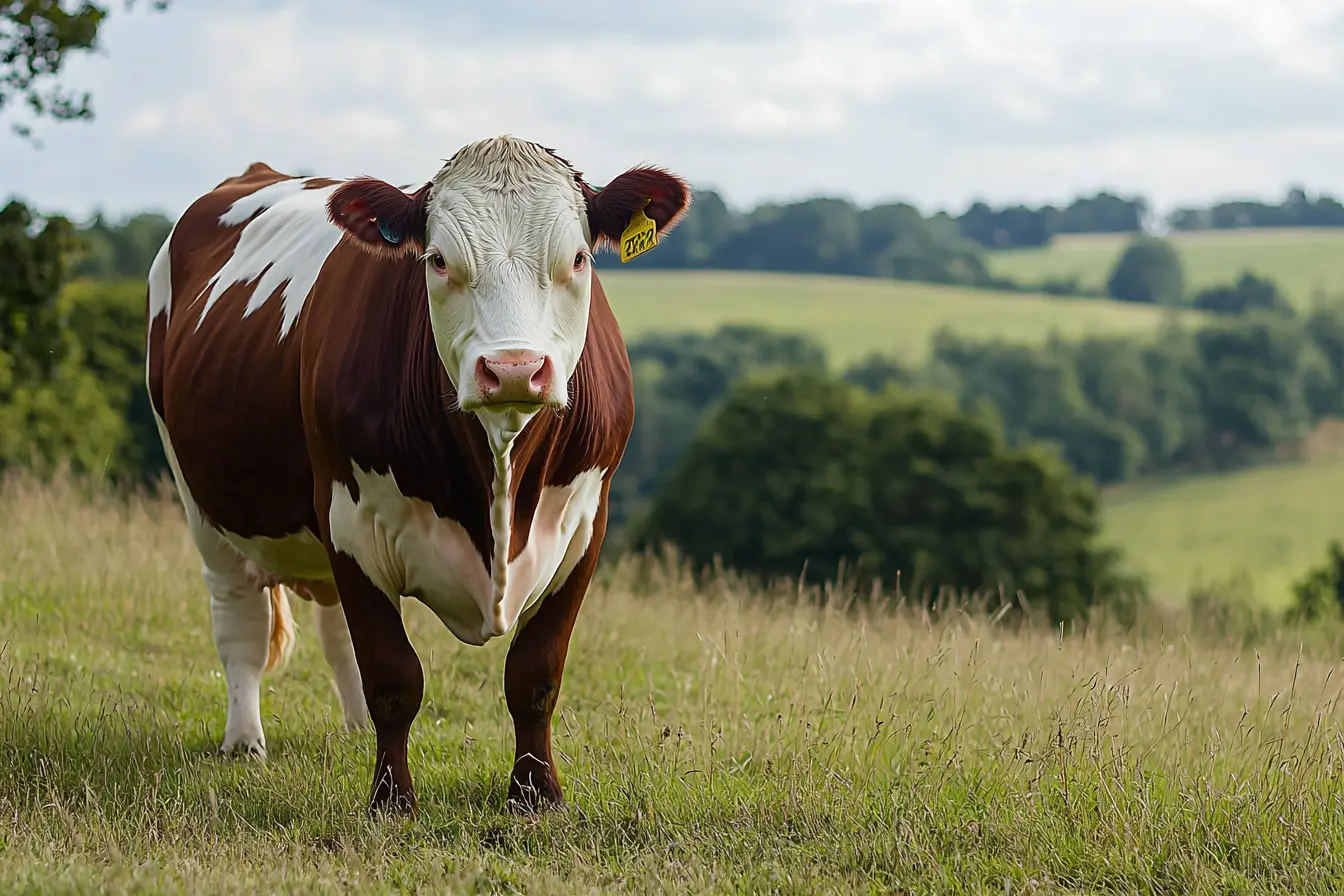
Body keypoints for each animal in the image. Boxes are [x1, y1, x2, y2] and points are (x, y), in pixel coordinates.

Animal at [147, 137, 693, 816]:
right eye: (437, 260)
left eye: (578, 257)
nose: (514, 370)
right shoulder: (351, 523)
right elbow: (392, 676)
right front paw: (391, 799)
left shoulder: (584, 527)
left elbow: (535, 674)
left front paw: (535, 795)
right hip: (202, 503)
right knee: (239, 619)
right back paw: (245, 741)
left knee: (334, 630)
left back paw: (353, 730)